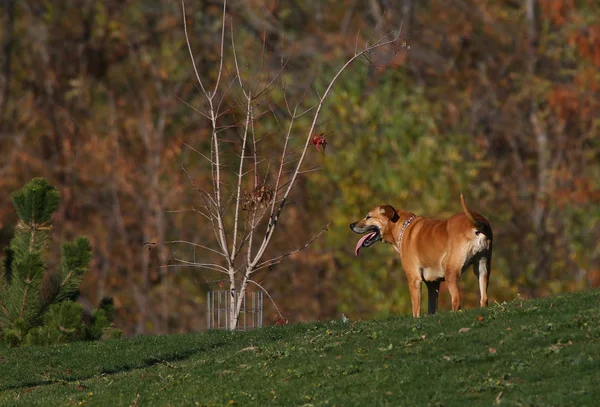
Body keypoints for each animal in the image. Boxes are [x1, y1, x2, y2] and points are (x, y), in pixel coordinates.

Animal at [350, 195, 494, 318]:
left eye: (368, 216)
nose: (351, 225)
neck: (402, 227)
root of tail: (476, 223)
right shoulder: (433, 284)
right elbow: (431, 308)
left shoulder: (414, 279)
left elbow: (416, 310)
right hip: (482, 269)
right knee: (484, 298)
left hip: (451, 272)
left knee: (457, 300)